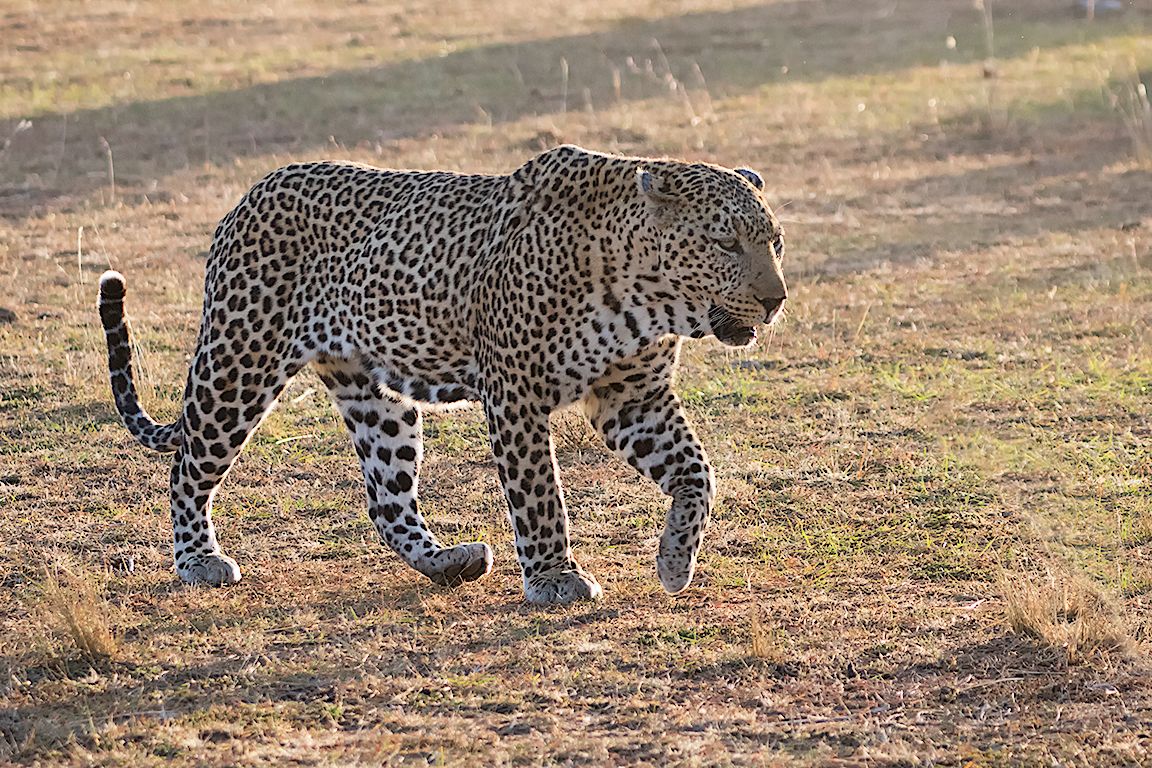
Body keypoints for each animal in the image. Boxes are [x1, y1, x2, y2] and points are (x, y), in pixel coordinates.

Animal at [97, 144, 787, 605]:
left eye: (775, 241)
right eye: (726, 243)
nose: (776, 299)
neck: (647, 296)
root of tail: (247, 196)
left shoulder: (632, 396)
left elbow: (697, 471)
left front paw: (675, 561)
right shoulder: (516, 395)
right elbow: (540, 495)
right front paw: (554, 577)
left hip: (376, 398)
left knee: (385, 498)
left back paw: (449, 563)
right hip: (240, 362)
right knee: (187, 465)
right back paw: (199, 559)